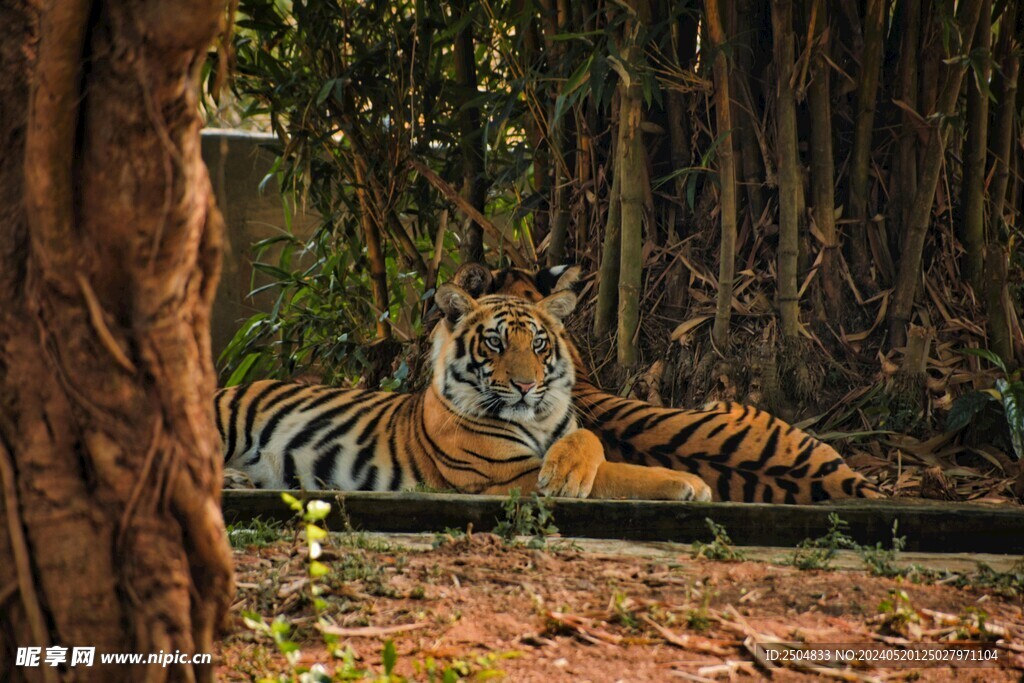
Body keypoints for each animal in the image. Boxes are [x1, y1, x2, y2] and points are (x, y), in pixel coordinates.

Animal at [218, 283, 713, 501]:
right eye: (495, 342)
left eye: (538, 343)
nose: (526, 385)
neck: (538, 420)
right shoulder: (508, 476)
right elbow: (618, 474)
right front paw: (689, 483)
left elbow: (592, 443)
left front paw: (568, 471)